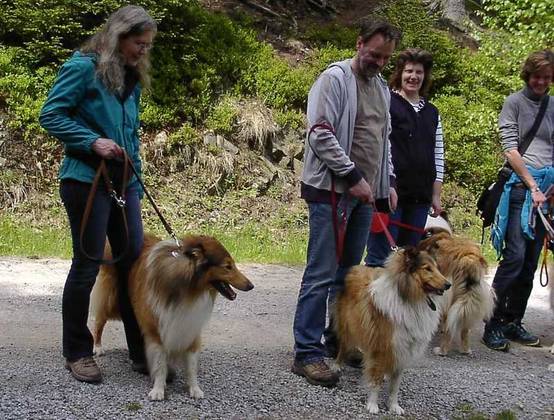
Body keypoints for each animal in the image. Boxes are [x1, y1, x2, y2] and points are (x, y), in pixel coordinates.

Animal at [90, 233, 254, 400]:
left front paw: (194, 389)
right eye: (227, 266)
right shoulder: (158, 328)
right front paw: (158, 389)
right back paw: (97, 347)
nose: (251, 286)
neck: (188, 288)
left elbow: (191, 366)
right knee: (99, 321)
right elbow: (160, 363)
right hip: (111, 300)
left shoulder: (191, 326)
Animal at [334, 247, 450, 415]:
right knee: (343, 346)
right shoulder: (381, 347)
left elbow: (395, 386)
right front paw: (373, 405)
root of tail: (357, 267)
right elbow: (375, 381)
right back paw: (337, 365)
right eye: (427, 268)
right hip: (348, 326)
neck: (410, 300)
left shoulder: (403, 349)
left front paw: (394, 406)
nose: (448, 285)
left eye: (437, 268)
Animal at [420, 215, 495, 356]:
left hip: (447, 294)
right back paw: (465, 350)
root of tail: (468, 258)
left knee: (449, 325)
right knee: (464, 326)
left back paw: (442, 350)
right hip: (469, 298)